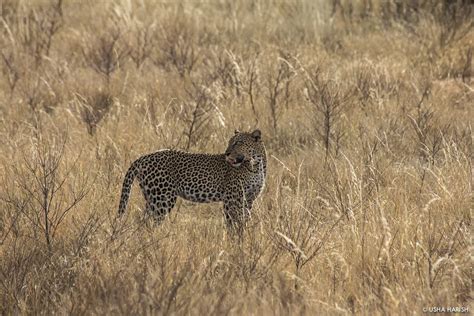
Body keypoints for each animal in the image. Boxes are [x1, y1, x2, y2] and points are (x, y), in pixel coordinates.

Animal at [116, 128, 266, 235]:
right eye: (230, 142)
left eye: (238, 142)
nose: (227, 153)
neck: (256, 166)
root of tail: (142, 158)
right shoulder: (231, 199)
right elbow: (232, 223)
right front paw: (234, 242)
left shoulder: (249, 199)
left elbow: (244, 220)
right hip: (163, 199)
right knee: (148, 222)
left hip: (152, 198)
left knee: (143, 220)